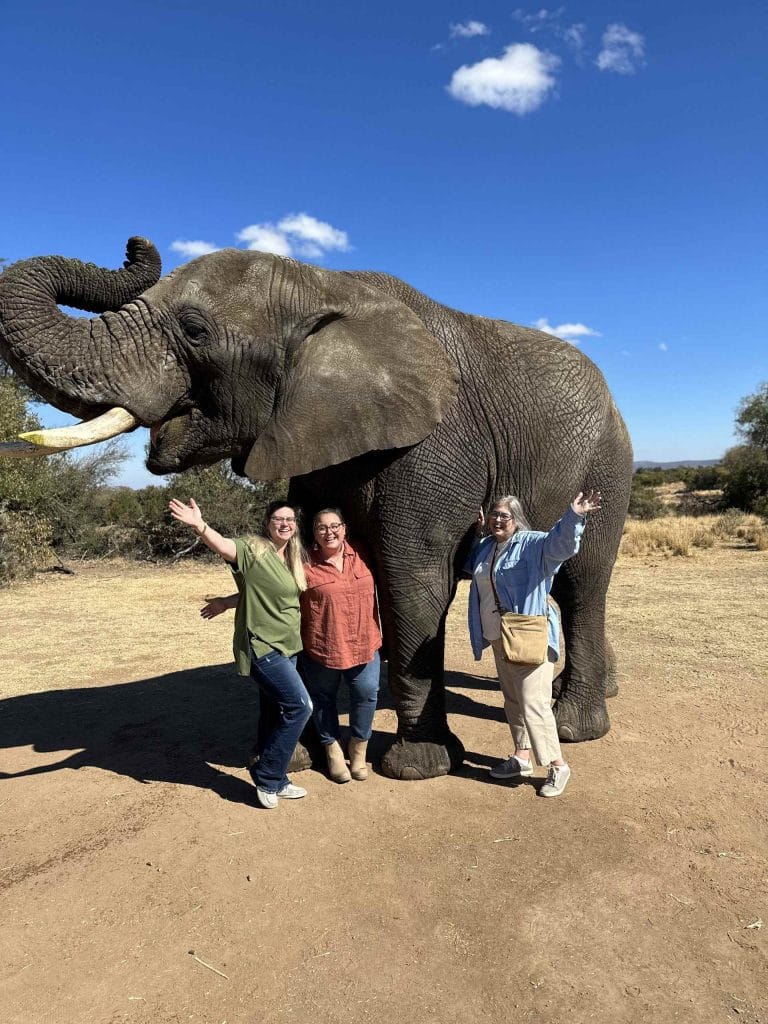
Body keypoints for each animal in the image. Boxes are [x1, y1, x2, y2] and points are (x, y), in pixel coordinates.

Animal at [0, 238, 633, 780]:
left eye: (195, 330)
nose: (135, 243)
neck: (321, 285)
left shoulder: (434, 447)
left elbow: (414, 585)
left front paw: (418, 767)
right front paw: (296, 756)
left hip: (608, 462)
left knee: (582, 583)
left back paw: (575, 726)